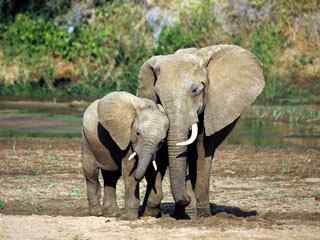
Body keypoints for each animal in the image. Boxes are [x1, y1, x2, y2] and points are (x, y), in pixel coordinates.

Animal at [81, 91, 169, 219]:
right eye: (137, 133)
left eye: (161, 141)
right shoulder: (126, 137)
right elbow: (129, 171)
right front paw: (129, 218)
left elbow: (154, 171)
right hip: (87, 140)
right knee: (91, 173)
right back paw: (97, 213)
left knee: (111, 176)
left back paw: (112, 213)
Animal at [136, 43, 264, 218]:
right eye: (158, 95)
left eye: (196, 90)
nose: (186, 198)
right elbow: (161, 152)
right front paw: (152, 211)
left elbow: (202, 150)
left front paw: (199, 214)